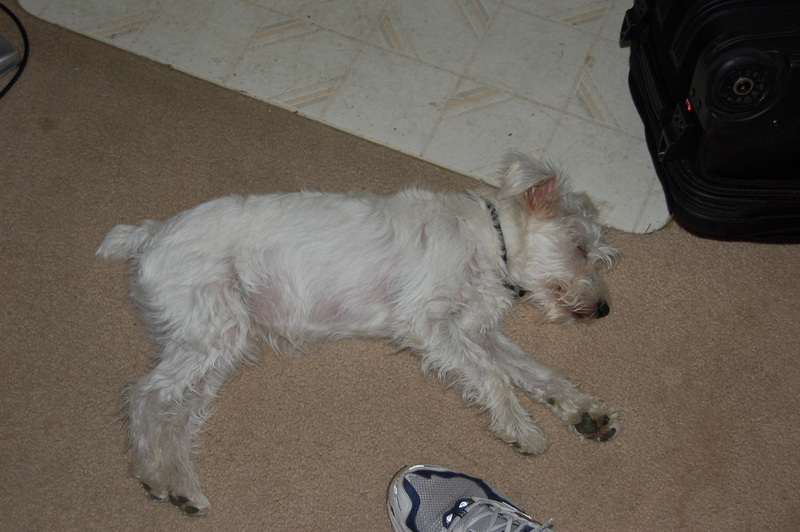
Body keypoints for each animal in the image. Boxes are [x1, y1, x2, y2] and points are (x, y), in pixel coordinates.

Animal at [97, 153, 619, 515]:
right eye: (579, 248)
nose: (603, 309)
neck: (493, 240)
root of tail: (150, 234)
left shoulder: (476, 331)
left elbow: (538, 373)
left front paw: (586, 414)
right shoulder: (429, 322)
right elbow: (495, 378)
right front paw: (522, 429)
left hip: (217, 348)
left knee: (176, 418)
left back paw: (182, 488)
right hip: (214, 333)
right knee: (144, 396)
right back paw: (154, 476)